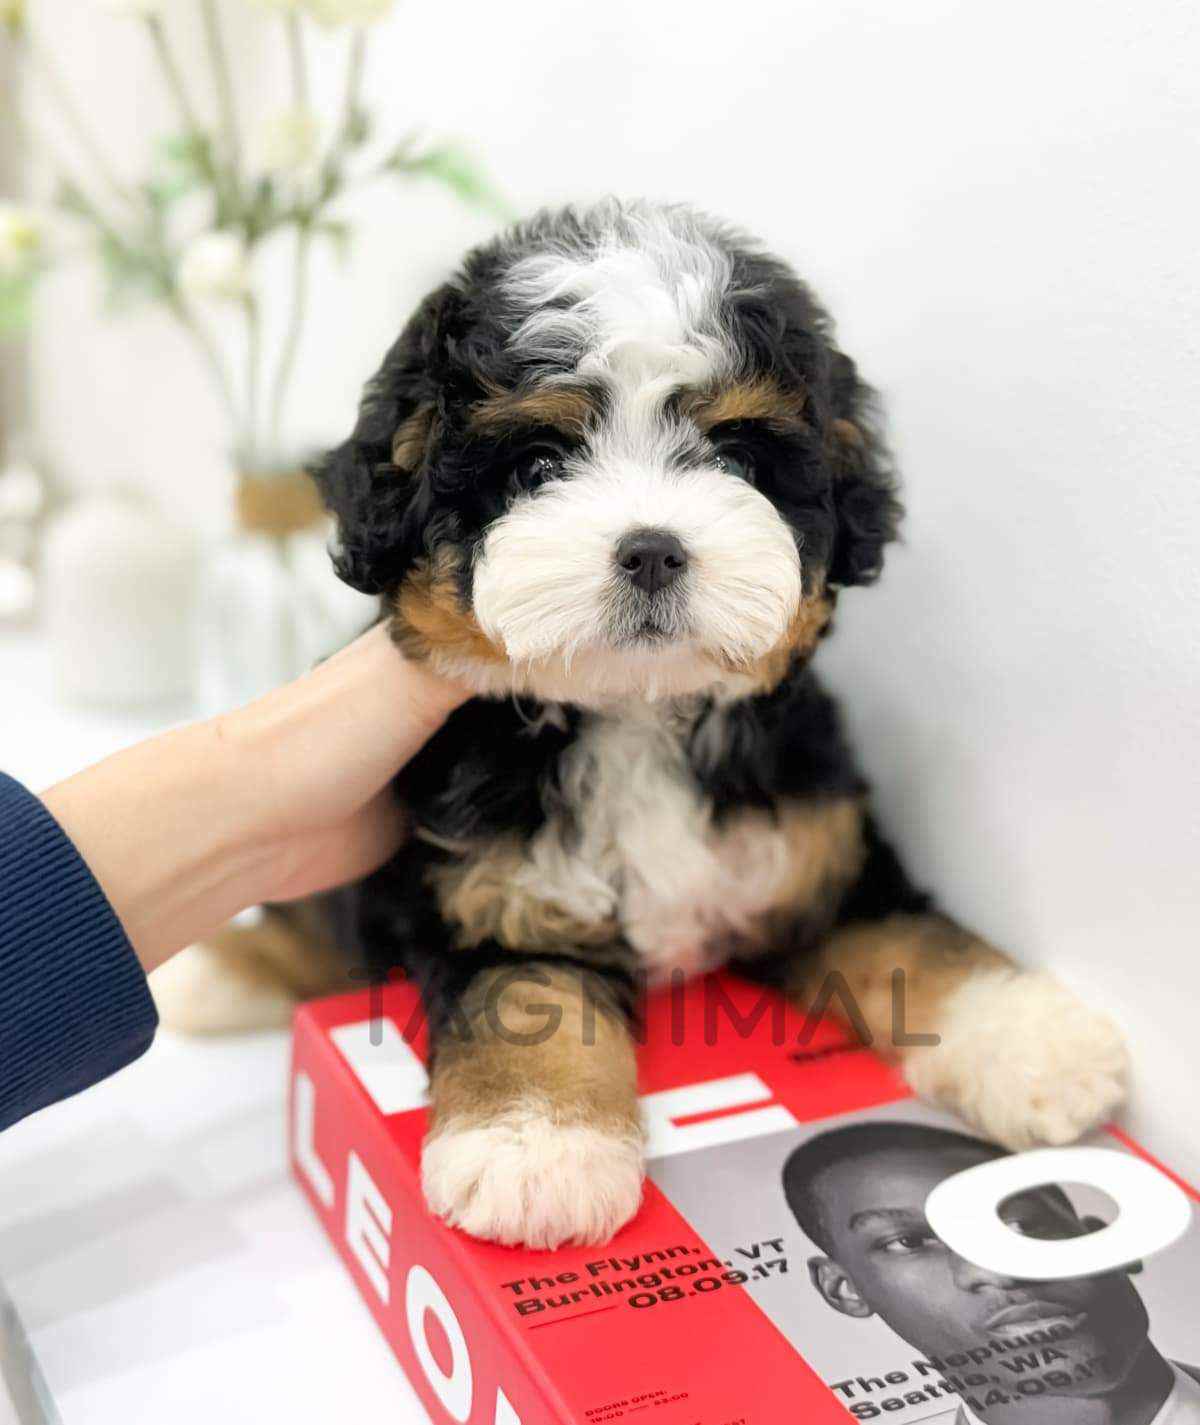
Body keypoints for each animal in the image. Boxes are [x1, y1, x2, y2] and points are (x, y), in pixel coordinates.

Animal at [154, 199, 1128, 1250]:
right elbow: (530, 1000)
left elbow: (917, 935)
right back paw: (213, 976)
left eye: (736, 458)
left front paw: (1038, 1041)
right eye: (539, 464)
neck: (637, 712)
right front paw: (534, 1146)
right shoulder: (494, 887)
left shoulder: (819, 847)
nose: (653, 550)